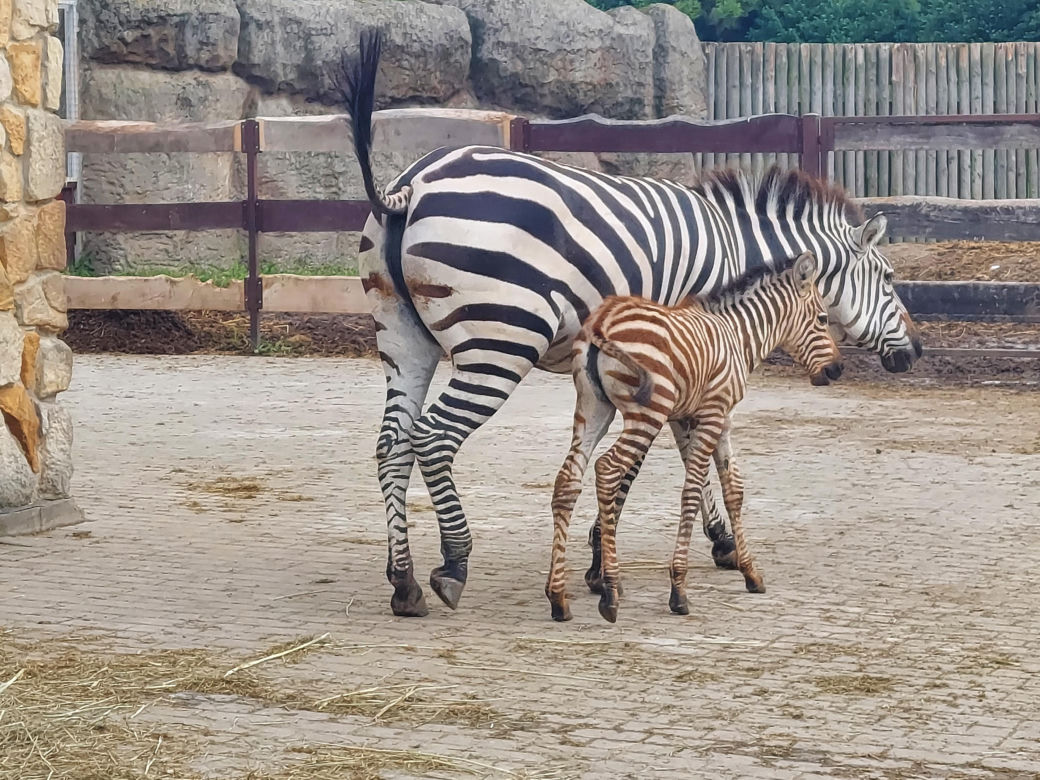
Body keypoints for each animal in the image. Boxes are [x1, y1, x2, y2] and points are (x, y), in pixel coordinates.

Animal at [547, 250, 843, 623]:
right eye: (822, 319)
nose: (837, 369)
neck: (738, 335)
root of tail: (602, 321)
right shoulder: (713, 414)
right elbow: (692, 492)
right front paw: (678, 590)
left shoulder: (704, 419)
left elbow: (732, 489)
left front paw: (750, 572)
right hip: (646, 414)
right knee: (608, 469)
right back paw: (610, 593)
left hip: (593, 408)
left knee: (567, 480)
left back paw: (558, 597)